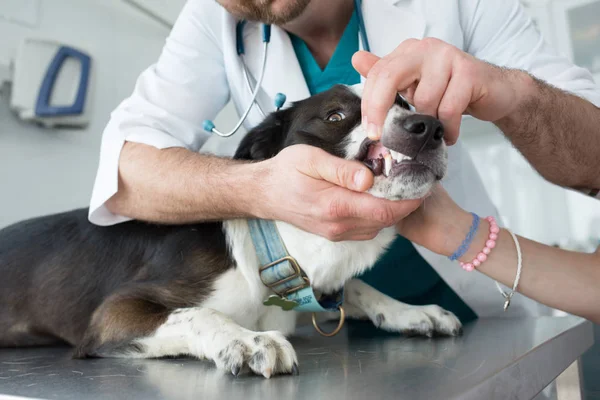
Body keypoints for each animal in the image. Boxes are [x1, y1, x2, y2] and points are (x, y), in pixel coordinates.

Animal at [0, 83, 462, 378]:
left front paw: (411, 311)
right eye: (336, 115)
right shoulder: (112, 315)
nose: (429, 126)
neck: (276, 250)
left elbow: (359, 288)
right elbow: (199, 312)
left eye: (405, 103)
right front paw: (248, 341)